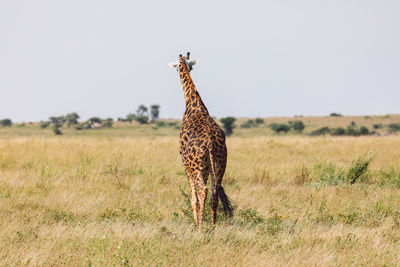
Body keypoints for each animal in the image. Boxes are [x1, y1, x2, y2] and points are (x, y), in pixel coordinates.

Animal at [170, 52, 234, 226]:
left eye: (177, 67)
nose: (180, 70)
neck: (193, 103)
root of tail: (211, 143)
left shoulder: (185, 163)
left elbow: (193, 197)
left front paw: (196, 221)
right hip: (219, 164)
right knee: (215, 191)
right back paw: (212, 224)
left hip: (196, 166)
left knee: (202, 190)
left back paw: (200, 224)